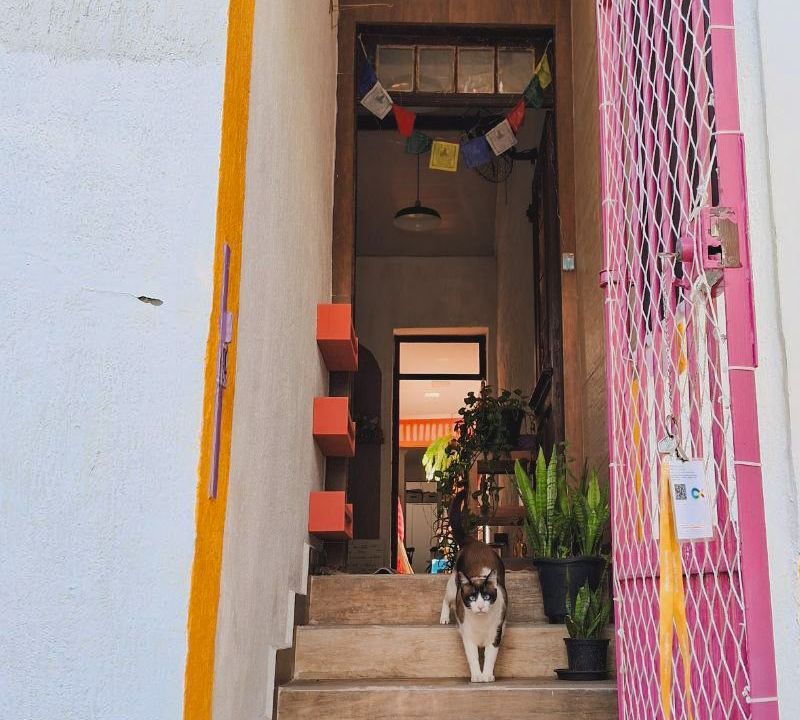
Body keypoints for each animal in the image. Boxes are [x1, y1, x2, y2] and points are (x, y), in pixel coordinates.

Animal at [439, 488, 508, 683]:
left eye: (486, 597)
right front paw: (478, 676)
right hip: (453, 583)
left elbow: (490, 657)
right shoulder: (468, 637)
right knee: (446, 600)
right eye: (471, 598)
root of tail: (474, 541)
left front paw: (487, 676)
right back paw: (444, 618)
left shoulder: (496, 634)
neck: (481, 623)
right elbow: (473, 657)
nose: (480, 606)